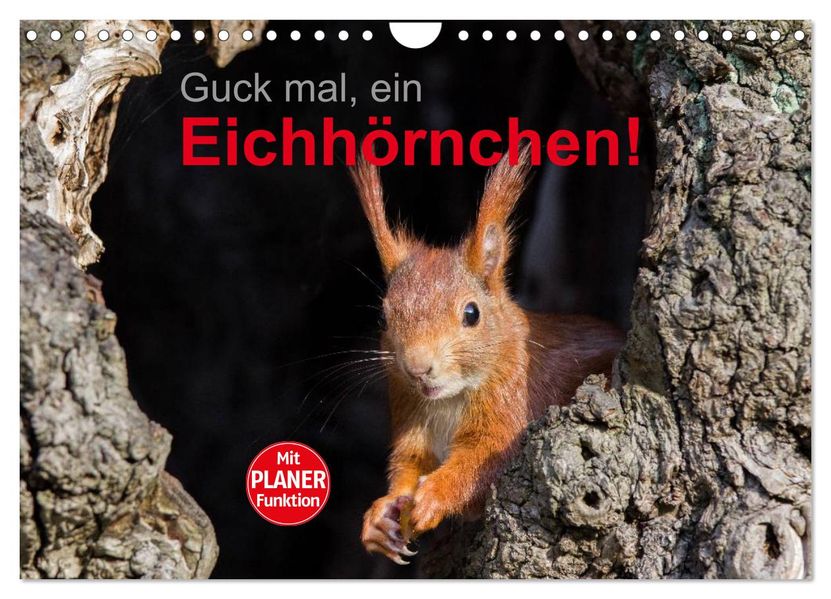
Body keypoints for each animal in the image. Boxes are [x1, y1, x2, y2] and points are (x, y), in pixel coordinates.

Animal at [351, 146, 623, 565]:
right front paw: (380, 517)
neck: (448, 400)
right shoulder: (409, 412)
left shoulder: (513, 404)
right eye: (383, 316)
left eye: (471, 313)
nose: (417, 368)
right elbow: (408, 464)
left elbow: (484, 462)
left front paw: (435, 495)